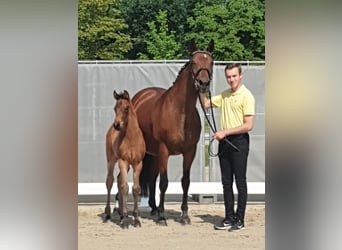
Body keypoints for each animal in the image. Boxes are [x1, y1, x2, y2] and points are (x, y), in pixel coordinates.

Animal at [105, 90, 146, 229]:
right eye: (115, 108)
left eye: (126, 108)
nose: (117, 125)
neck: (132, 138)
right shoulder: (123, 161)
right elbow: (124, 187)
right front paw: (125, 222)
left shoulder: (138, 163)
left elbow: (135, 188)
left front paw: (136, 220)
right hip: (112, 160)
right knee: (110, 181)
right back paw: (108, 213)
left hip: (127, 166)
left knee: (117, 179)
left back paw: (122, 215)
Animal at [132, 39, 214, 225]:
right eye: (194, 62)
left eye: (211, 62)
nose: (203, 84)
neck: (180, 113)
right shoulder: (164, 150)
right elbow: (164, 182)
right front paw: (163, 217)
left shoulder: (189, 152)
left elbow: (185, 182)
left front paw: (184, 215)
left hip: (153, 154)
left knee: (151, 178)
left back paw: (154, 208)